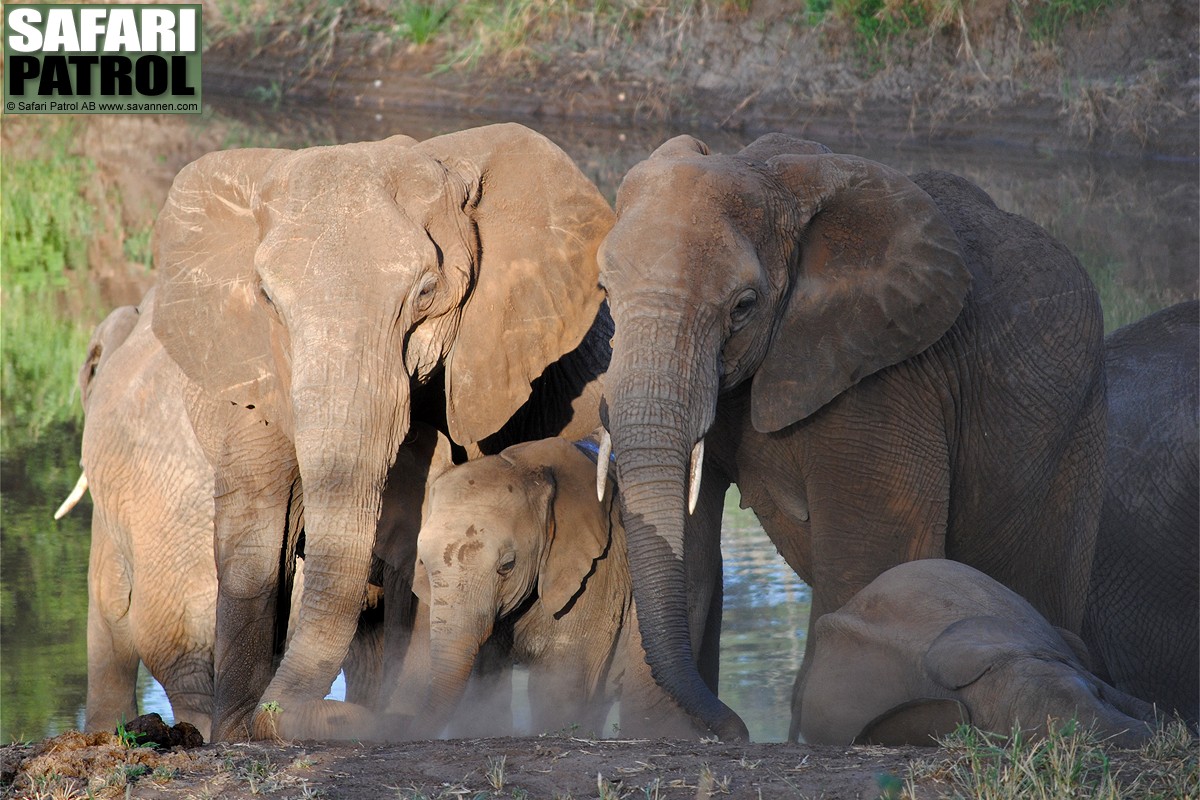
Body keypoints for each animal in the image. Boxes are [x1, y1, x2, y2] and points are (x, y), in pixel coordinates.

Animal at [150, 125, 619, 743]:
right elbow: (257, 530)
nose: (274, 718)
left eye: (424, 292)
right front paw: (233, 737)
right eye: (267, 298)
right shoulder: (253, 371)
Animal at [597, 134, 1104, 743]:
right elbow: (689, 555)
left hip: (1078, 440)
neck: (767, 174)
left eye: (744, 307)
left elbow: (871, 563)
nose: (739, 729)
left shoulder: (886, 379)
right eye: (604, 291)